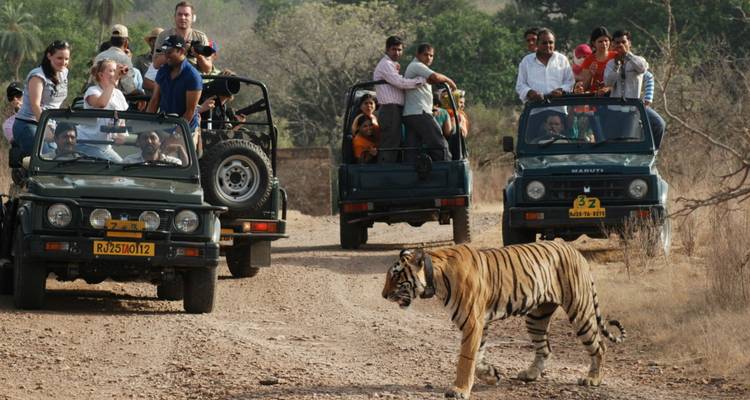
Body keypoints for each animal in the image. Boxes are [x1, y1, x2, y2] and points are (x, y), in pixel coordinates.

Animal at [381, 241, 625, 399]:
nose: (383, 295)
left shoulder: (473, 322)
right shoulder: (480, 324)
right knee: (545, 348)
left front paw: (459, 390)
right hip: (536, 317)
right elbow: (478, 358)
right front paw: (492, 375)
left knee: (599, 345)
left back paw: (593, 379)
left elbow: (466, 359)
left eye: (395, 276)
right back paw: (530, 374)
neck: (436, 278)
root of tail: (576, 251)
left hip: (580, 310)